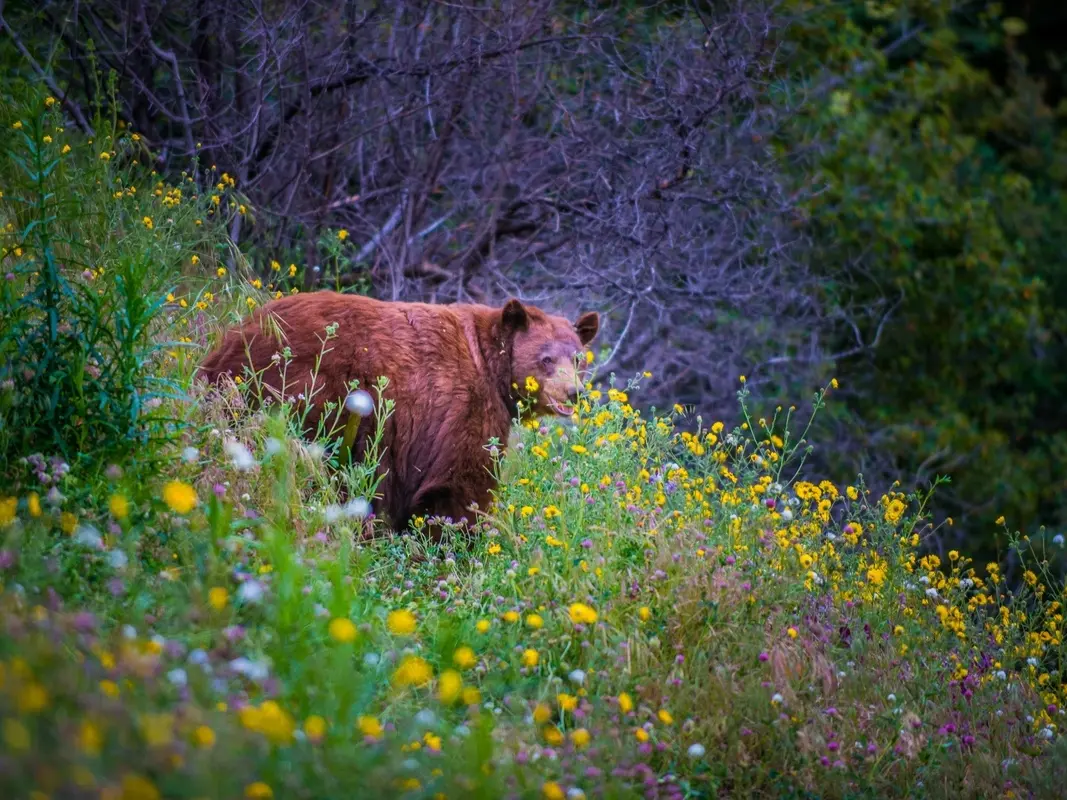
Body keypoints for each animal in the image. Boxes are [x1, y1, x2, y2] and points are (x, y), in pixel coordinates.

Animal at [198, 292, 601, 535]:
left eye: (577, 358)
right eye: (546, 359)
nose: (574, 392)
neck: (492, 367)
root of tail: (234, 340)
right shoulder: (463, 407)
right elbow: (461, 482)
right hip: (312, 395)